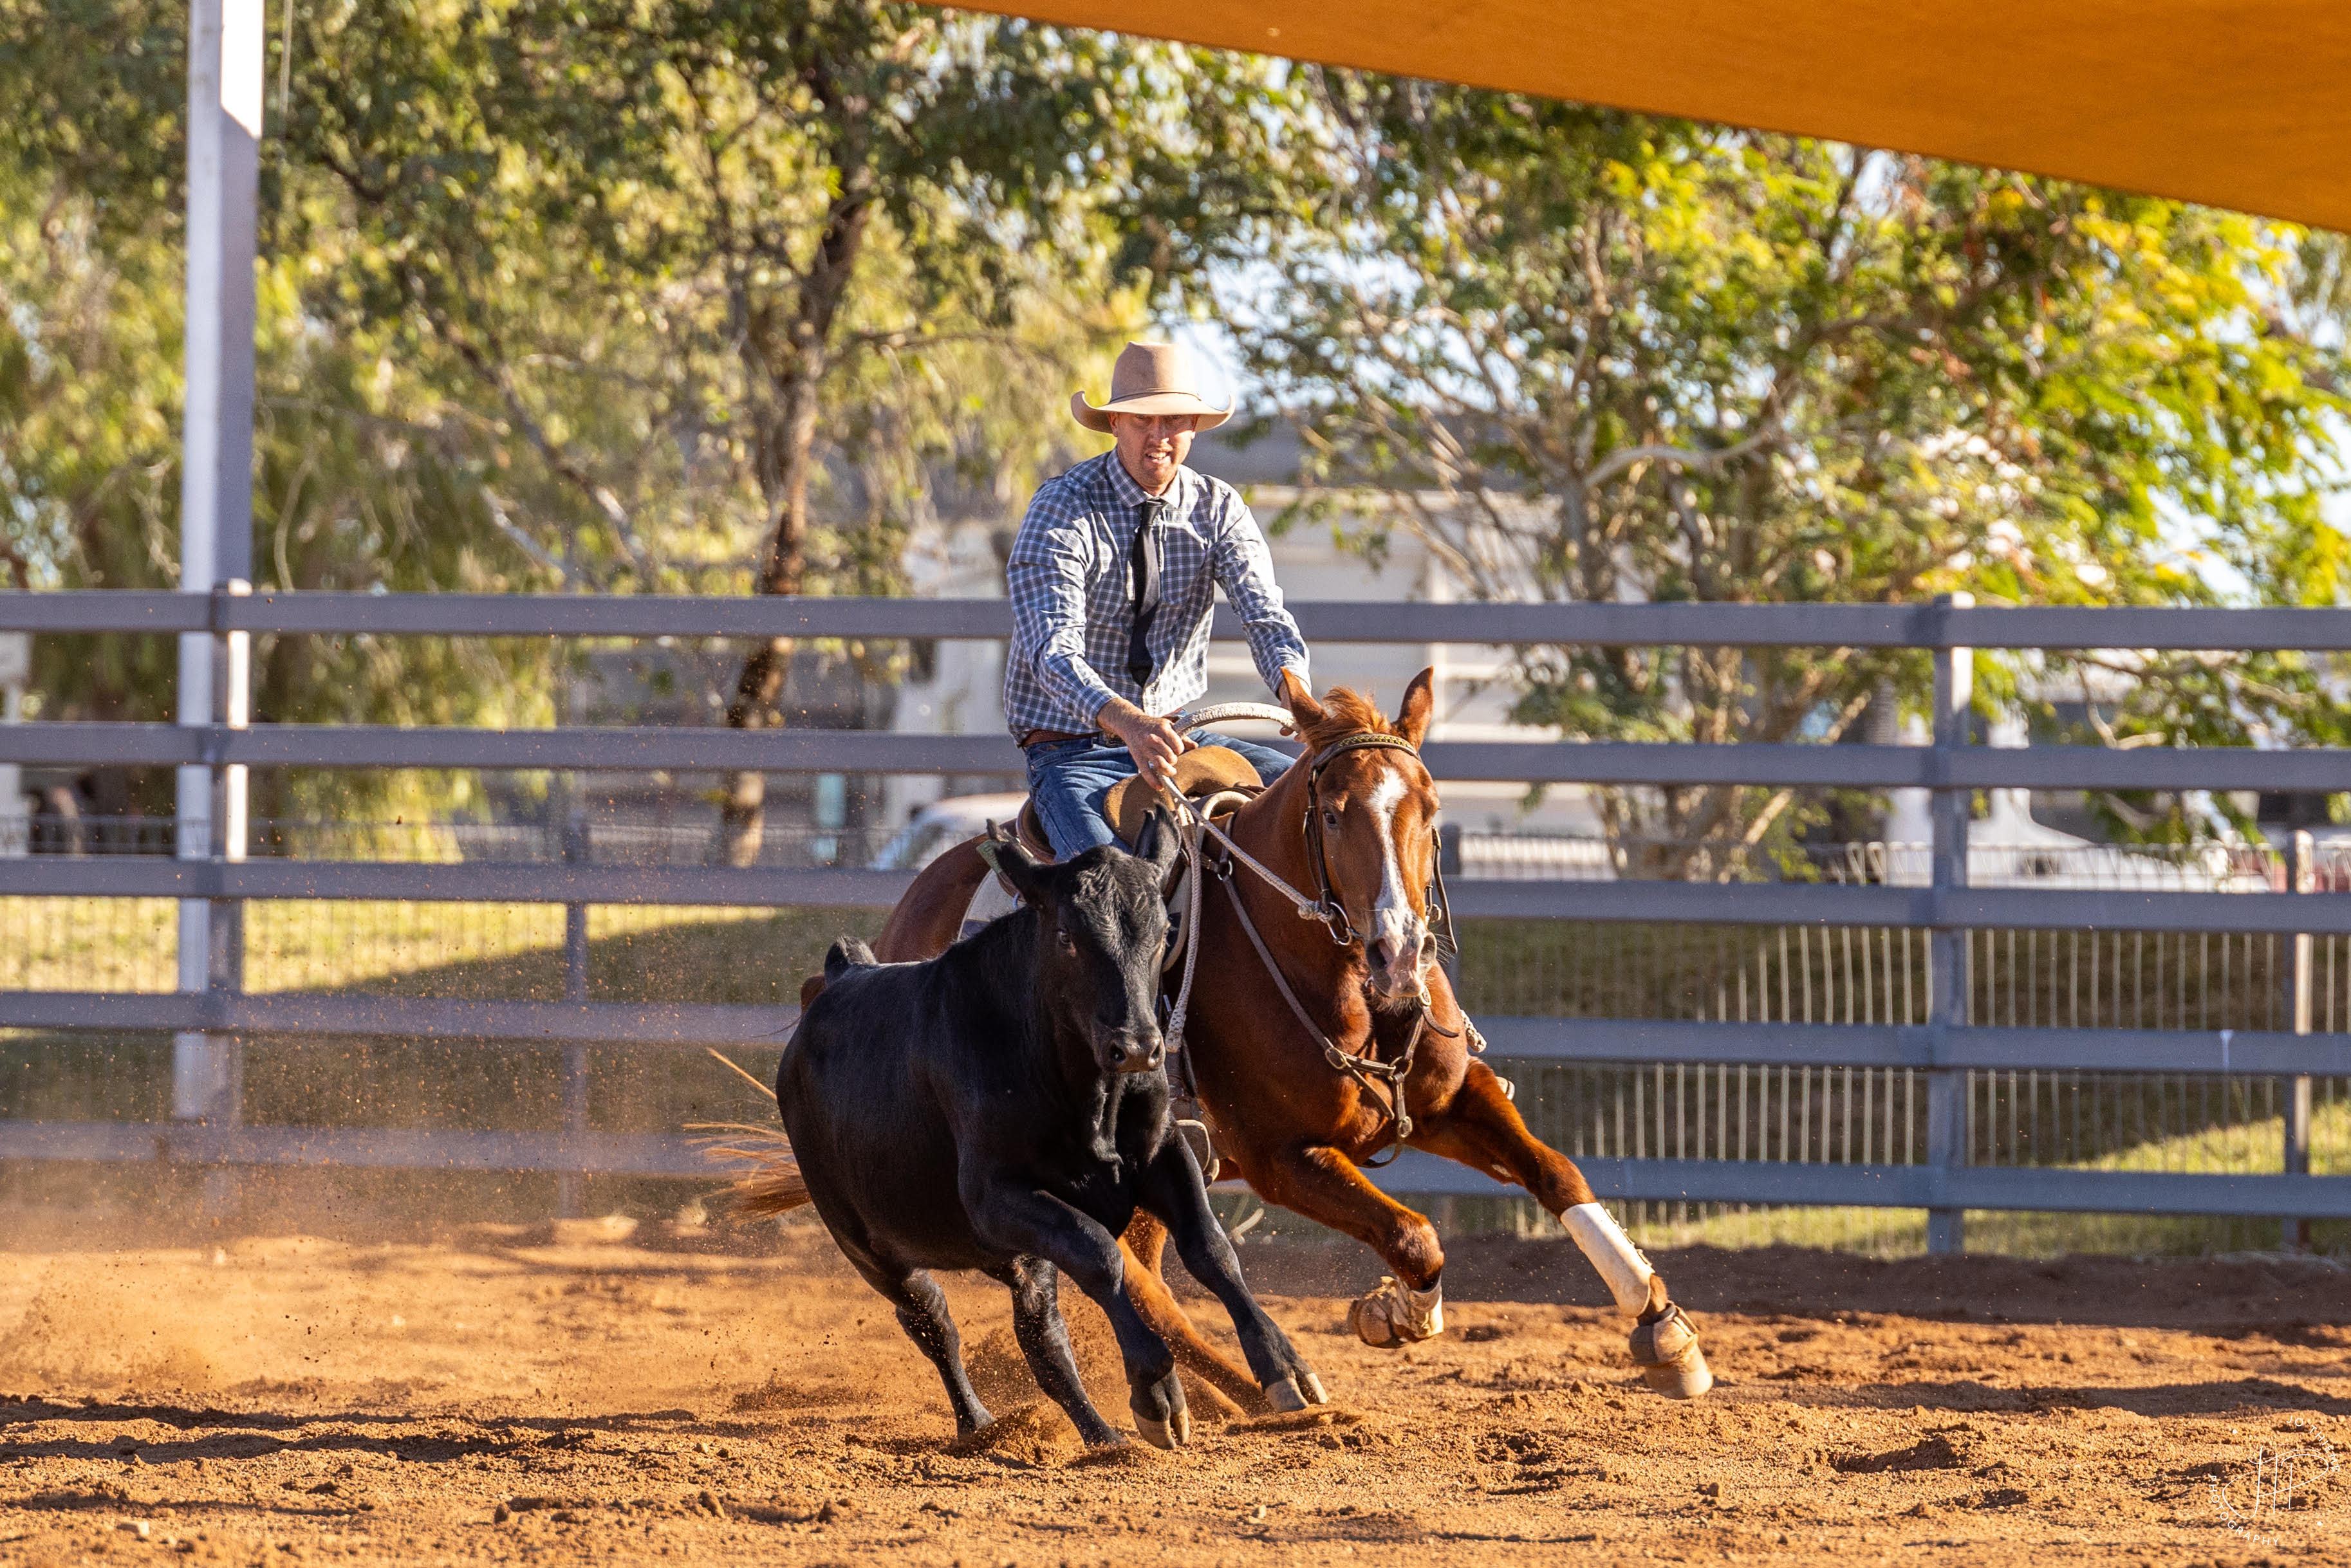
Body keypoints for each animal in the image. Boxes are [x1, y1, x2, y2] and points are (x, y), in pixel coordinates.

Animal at [772, 816, 1326, 1448]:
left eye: (1165, 931)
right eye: (1066, 935)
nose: (1138, 1046)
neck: (1085, 1091)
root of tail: (844, 973)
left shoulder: (1162, 1151)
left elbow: (1210, 1248)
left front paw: (1284, 1367)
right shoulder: (998, 1197)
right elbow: (1101, 1256)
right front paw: (1157, 1389)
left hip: (1021, 1259)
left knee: (1043, 1338)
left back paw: (1102, 1439)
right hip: (869, 1245)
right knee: (932, 1320)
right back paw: (979, 1424)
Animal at [873, 667, 1711, 1408]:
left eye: (1430, 808)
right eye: (1333, 814)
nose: (1398, 951)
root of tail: (905, 920)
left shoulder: (1451, 1099)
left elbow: (1556, 1174)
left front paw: (1664, 1331)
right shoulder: (1282, 1159)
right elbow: (1413, 1236)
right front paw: (1393, 1313)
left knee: (1147, 1278)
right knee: (1134, 1280)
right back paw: (1267, 1391)